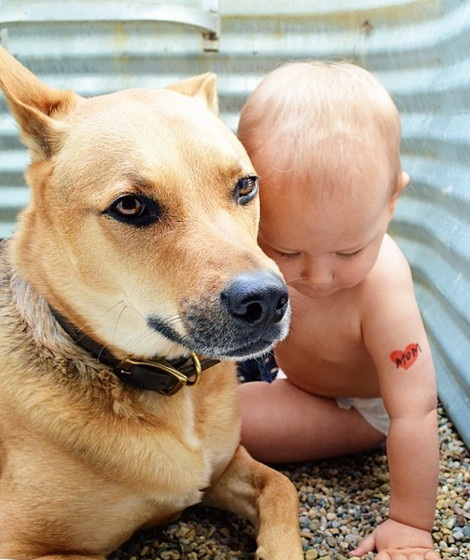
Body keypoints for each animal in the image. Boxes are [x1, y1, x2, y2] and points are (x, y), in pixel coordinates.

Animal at [0, 48, 302, 560]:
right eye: (130, 206)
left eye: (246, 185)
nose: (265, 301)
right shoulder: (21, 545)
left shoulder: (225, 467)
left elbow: (283, 487)